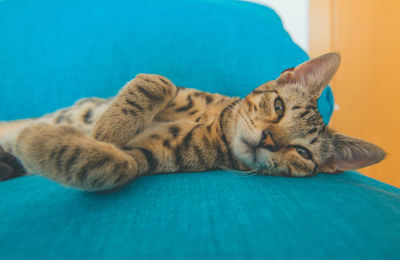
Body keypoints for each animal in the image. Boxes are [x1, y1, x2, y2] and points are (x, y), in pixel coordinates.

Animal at [0, 52, 384, 191]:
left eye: (303, 153)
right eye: (278, 106)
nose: (268, 139)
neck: (215, 124)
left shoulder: (151, 155)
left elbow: (112, 165)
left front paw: (39, 142)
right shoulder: (180, 91)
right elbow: (158, 82)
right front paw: (109, 126)